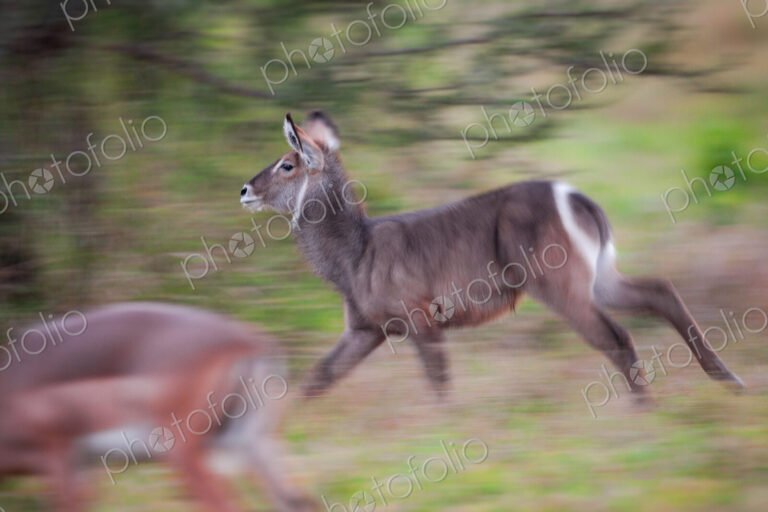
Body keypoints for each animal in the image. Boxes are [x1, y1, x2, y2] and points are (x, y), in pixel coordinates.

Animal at [0, 302, 315, 512]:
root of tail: (251, 342)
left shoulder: (58, 458)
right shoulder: (81, 466)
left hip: (181, 451)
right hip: (254, 444)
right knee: (296, 499)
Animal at [239, 111, 745, 402]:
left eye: (287, 163)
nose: (245, 190)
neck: (355, 253)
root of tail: (575, 196)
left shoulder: (420, 318)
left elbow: (440, 383)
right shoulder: (366, 330)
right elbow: (317, 379)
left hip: (559, 285)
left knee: (617, 335)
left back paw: (647, 409)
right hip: (601, 276)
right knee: (661, 290)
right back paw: (728, 381)